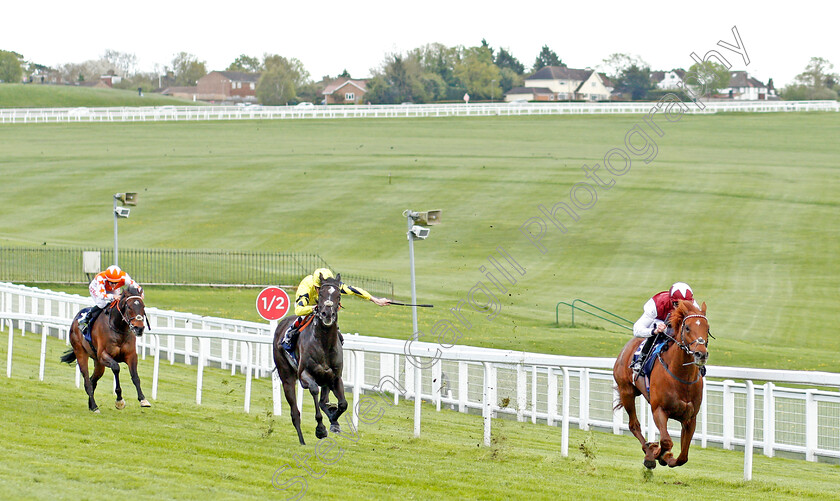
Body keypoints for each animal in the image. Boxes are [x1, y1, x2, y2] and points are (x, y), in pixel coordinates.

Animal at [60, 284, 151, 412]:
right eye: (129, 307)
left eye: (143, 306)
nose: (139, 329)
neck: (118, 328)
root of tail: (75, 320)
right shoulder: (104, 355)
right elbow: (116, 368)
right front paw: (119, 400)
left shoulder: (131, 355)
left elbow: (135, 377)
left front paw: (143, 399)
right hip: (81, 352)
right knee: (87, 381)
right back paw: (94, 406)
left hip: (98, 363)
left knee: (93, 380)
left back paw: (91, 405)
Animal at [272, 274, 344, 446]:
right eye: (321, 295)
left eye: (338, 295)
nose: (327, 314)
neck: (324, 342)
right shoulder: (304, 375)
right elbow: (313, 390)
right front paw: (321, 429)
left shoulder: (335, 377)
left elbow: (342, 404)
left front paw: (334, 420)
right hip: (286, 377)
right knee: (295, 413)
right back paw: (302, 440)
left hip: (325, 379)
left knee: (324, 401)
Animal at [612, 298, 712, 466]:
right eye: (687, 328)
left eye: (707, 328)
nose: (701, 354)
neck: (682, 378)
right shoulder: (659, 410)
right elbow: (666, 441)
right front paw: (657, 453)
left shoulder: (690, 418)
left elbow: (683, 457)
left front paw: (666, 456)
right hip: (627, 391)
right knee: (634, 425)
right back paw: (648, 452)